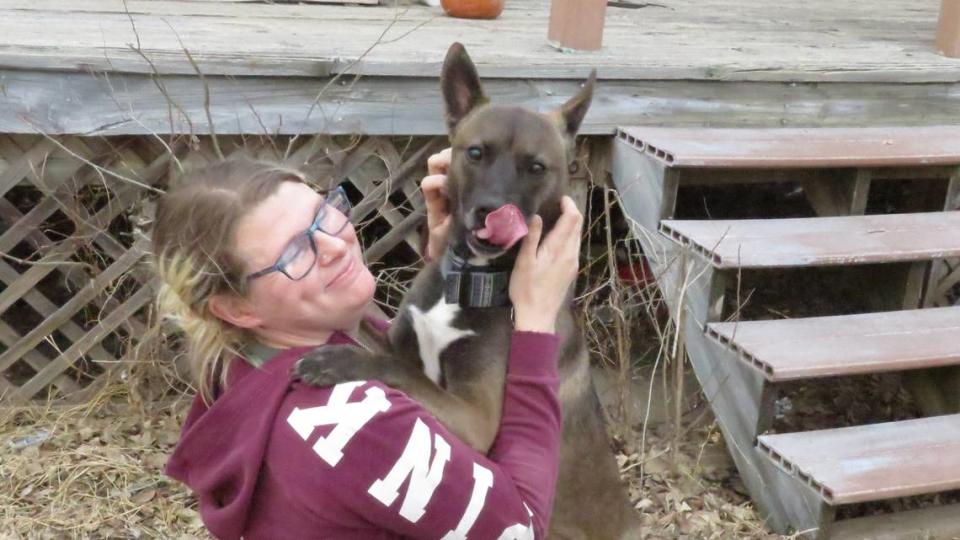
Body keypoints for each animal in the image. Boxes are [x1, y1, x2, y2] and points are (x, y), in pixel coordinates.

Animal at [298, 43, 644, 540]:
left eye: (536, 167)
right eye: (475, 152)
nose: (489, 212)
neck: (470, 282)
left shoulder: (476, 420)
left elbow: (400, 371)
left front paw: (338, 361)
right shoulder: (397, 336)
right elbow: (379, 340)